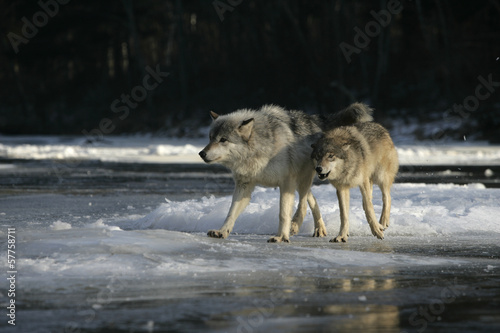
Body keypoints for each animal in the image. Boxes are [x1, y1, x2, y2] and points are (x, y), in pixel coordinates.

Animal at [197, 102, 374, 241]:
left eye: (223, 140)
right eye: (211, 138)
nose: (201, 153)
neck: (260, 149)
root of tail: (315, 120)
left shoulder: (286, 183)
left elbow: (283, 213)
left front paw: (281, 236)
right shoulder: (244, 186)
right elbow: (231, 212)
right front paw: (222, 231)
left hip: (303, 178)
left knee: (303, 203)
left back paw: (295, 225)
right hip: (300, 181)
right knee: (311, 199)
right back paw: (319, 229)